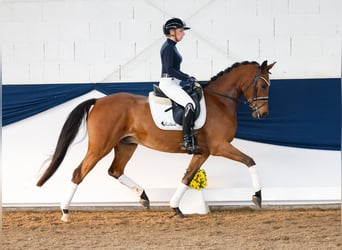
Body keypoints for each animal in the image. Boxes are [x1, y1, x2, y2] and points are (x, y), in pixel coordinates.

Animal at [36, 60, 276, 221]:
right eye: (264, 86)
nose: (263, 114)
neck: (220, 102)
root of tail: (99, 100)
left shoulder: (203, 152)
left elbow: (187, 178)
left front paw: (176, 208)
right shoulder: (219, 147)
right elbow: (250, 161)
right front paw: (257, 196)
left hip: (126, 145)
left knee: (115, 171)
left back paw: (143, 197)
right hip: (100, 146)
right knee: (79, 173)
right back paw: (65, 212)